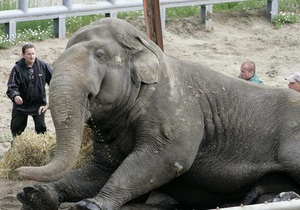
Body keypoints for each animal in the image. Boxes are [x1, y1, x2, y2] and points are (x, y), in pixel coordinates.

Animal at [15, 18, 300, 210]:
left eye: (100, 55)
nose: (18, 170)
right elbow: (103, 169)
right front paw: (34, 195)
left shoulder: (176, 109)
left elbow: (166, 160)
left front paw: (90, 205)